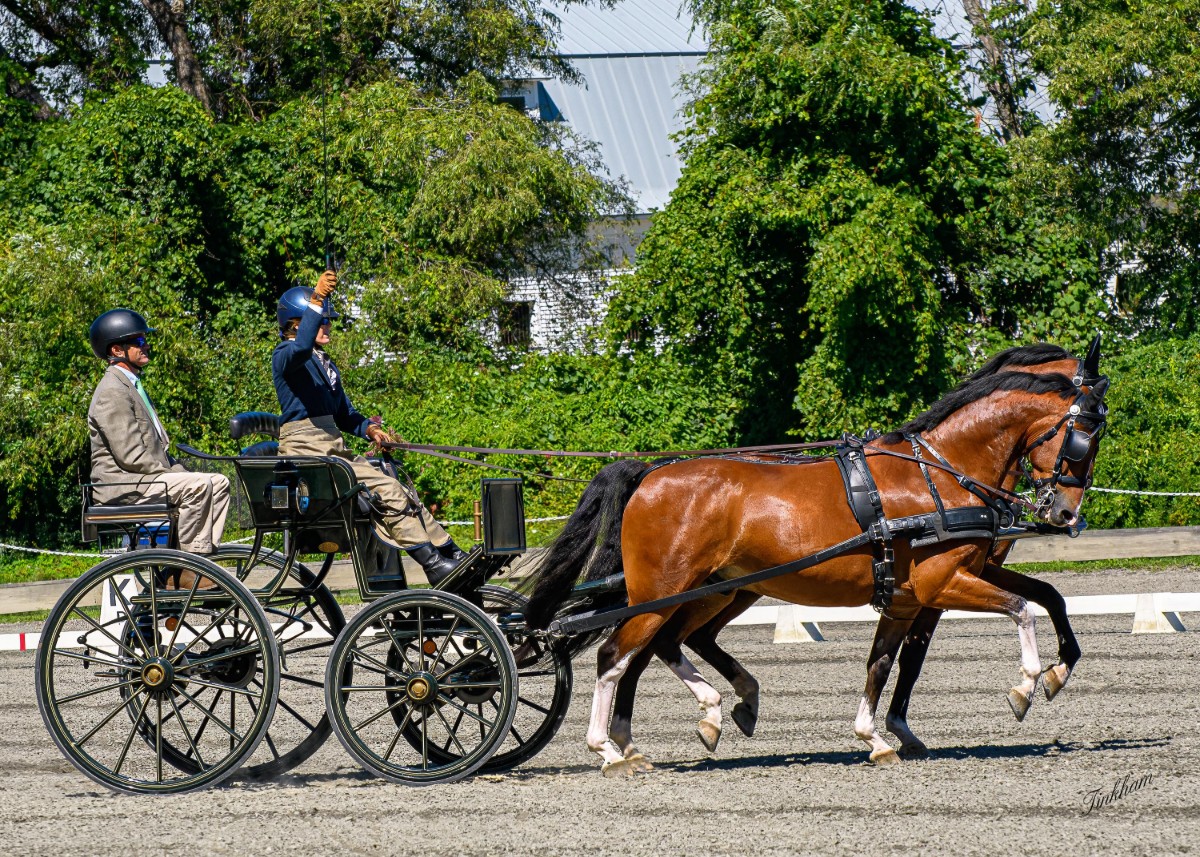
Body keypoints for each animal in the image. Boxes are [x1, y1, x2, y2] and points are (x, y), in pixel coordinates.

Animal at [523, 360, 1109, 774]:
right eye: (1083, 437)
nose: (1065, 513)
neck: (940, 475)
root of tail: (649, 474)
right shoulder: (941, 583)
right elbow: (1021, 608)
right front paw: (1028, 685)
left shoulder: (912, 595)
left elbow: (887, 661)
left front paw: (876, 737)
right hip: (663, 592)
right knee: (615, 656)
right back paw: (609, 750)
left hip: (716, 591)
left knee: (659, 647)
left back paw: (708, 714)